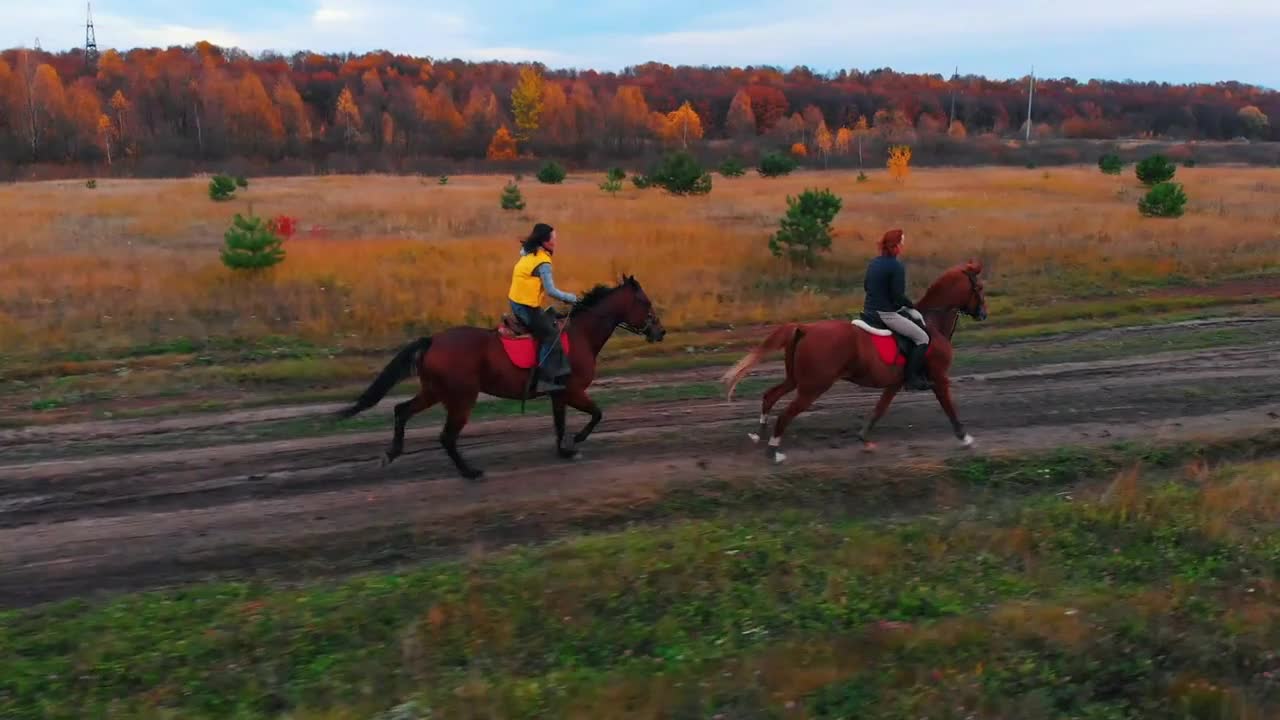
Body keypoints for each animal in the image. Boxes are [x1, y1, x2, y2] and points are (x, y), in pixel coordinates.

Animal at [335, 278, 665, 479]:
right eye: (646, 303)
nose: (660, 331)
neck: (581, 334)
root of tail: (433, 340)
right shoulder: (572, 391)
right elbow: (597, 414)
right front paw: (578, 440)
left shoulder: (559, 394)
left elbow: (560, 424)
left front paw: (564, 450)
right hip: (461, 398)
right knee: (446, 436)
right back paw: (470, 472)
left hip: (434, 391)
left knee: (401, 410)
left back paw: (391, 453)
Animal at [721, 257, 988, 458]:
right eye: (980, 288)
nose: (983, 314)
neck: (931, 322)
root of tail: (804, 328)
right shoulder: (939, 378)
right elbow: (949, 408)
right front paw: (965, 438)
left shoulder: (895, 383)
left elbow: (879, 410)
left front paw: (864, 438)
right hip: (813, 387)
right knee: (786, 413)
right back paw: (773, 450)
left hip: (797, 380)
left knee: (770, 396)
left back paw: (759, 434)